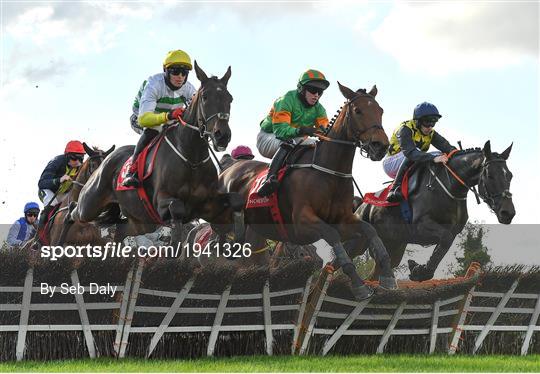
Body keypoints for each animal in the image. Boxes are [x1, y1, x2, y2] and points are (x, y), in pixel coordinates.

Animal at [66, 61, 237, 243]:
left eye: (230, 98)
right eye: (205, 97)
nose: (222, 135)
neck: (192, 159)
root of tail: (107, 158)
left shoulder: (207, 203)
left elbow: (235, 200)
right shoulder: (161, 202)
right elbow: (177, 207)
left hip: (140, 221)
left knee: (120, 230)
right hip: (90, 204)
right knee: (76, 211)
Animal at [211, 82, 396, 300]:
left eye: (380, 110)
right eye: (358, 111)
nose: (380, 146)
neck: (329, 172)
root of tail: (228, 169)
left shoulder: (342, 219)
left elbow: (370, 231)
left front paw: (388, 277)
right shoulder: (302, 222)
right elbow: (332, 235)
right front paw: (359, 285)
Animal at [354, 142, 516, 282]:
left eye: (510, 175)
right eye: (490, 175)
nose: (508, 213)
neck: (450, 186)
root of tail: (362, 205)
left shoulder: (451, 231)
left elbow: (443, 246)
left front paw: (419, 269)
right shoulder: (421, 227)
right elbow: (445, 238)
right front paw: (420, 270)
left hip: (393, 247)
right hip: (360, 242)